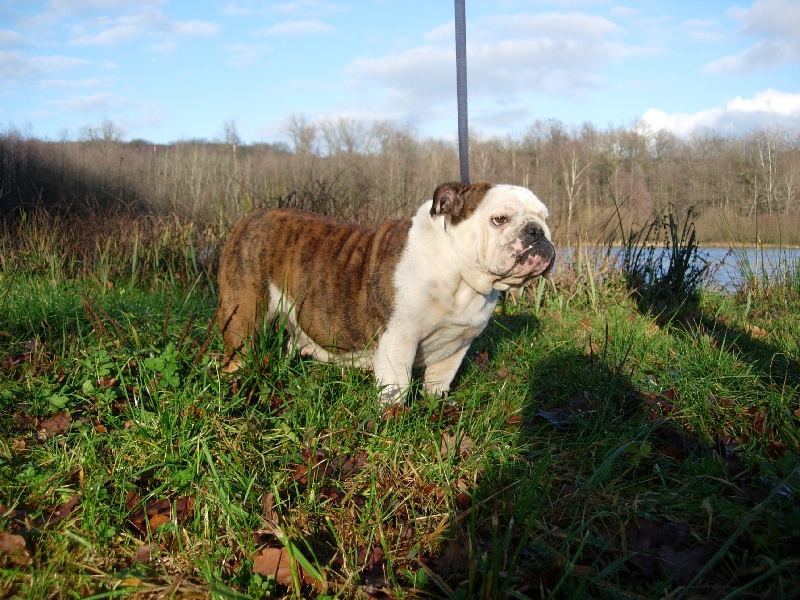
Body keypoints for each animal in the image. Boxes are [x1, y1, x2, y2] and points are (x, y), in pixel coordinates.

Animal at [219, 178, 556, 404]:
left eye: (544, 218)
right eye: (500, 219)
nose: (537, 232)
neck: (458, 273)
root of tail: (251, 218)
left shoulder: (456, 346)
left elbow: (439, 381)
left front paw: (437, 407)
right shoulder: (398, 342)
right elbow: (396, 389)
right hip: (243, 316)